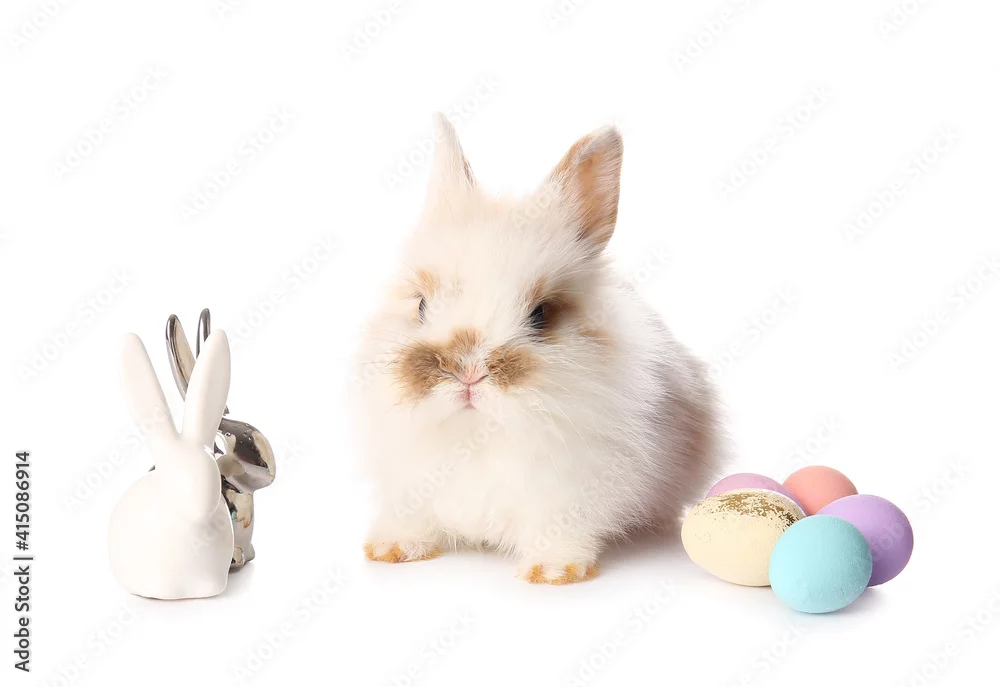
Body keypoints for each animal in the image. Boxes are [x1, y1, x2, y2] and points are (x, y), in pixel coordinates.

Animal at [354, 113, 722, 584]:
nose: (468, 370)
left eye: (542, 314)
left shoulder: (569, 493)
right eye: (420, 305)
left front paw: (553, 572)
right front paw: (393, 549)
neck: (476, 436)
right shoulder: (408, 482)